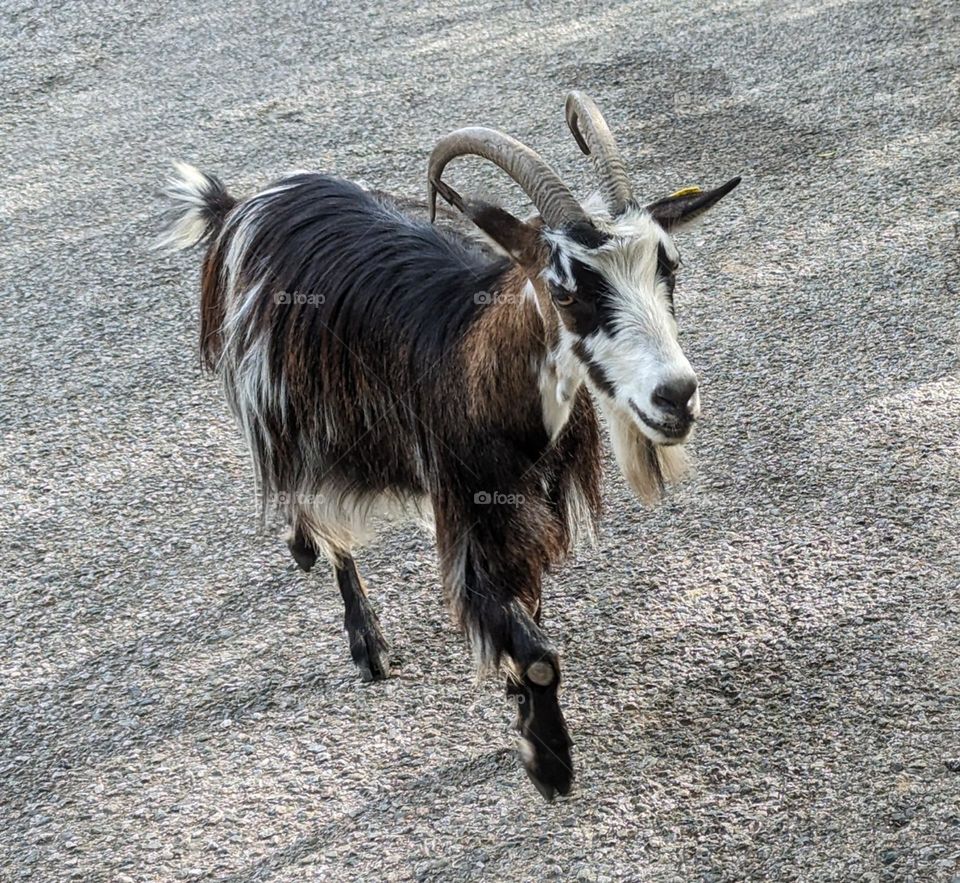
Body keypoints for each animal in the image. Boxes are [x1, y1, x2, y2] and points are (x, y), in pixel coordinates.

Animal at [160, 92, 740, 800]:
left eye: (670, 269)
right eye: (565, 289)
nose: (676, 396)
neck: (484, 364)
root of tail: (241, 205)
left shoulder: (527, 511)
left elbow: (530, 611)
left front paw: (526, 720)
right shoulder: (470, 512)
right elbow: (534, 652)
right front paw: (548, 761)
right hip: (279, 403)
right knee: (316, 505)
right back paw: (364, 639)